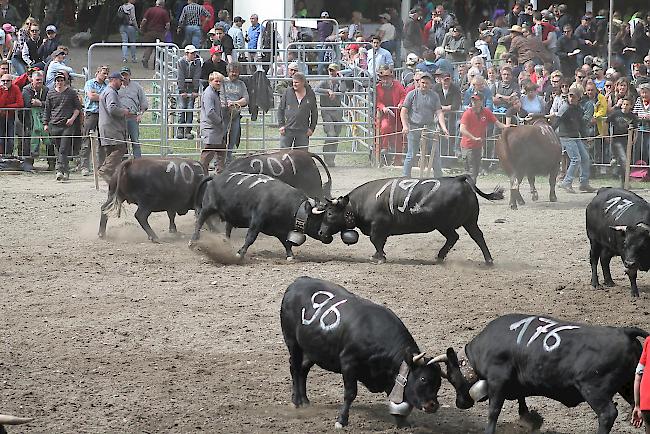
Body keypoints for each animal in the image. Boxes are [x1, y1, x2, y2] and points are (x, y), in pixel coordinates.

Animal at [189, 172, 354, 262]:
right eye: (325, 216)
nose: (327, 237)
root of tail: (214, 177)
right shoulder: (257, 221)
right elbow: (250, 237)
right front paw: (240, 254)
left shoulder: (280, 230)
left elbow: (286, 243)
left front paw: (290, 256)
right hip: (208, 208)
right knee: (199, 222)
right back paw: (193, 241)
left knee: (227, 228)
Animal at [280, 276, 448, 428]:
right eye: (423, 379)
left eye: (439, 382)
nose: (433, 405)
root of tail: (296, 283)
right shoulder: (348, 364)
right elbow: (350, 394)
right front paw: (341, 420)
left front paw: (402, 422)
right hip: (292, 342)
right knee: (295, 367)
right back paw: (296, 401)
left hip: (313, 350)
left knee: (303, 369)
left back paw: (305, 400)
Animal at [316, 175, 504, 262]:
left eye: (330, 213)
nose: (321, 232)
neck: (359, 203)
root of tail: (460, 179)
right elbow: (379, 243)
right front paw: (378, 255)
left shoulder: (378, 227)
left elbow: (375, 241)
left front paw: (379, 257)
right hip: (466, 222)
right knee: (470, 237)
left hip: (447, 224)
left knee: (462, 237)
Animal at [438, 314, 644, 434]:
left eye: (451, 378)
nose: (460, 404)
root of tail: (624, 332)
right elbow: (521, 399)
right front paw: (527, 419)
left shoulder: (497, 381)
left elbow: (493, 411)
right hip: (629, 385)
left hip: (594, 390)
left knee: (607, 414)